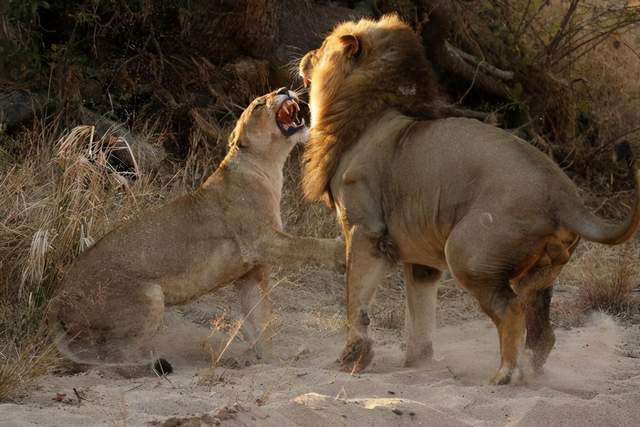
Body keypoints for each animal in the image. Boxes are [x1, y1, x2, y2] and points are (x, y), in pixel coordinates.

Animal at [49, 88, 342, 374]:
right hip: (147, 297)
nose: (284, 89)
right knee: (114, 355)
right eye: (259, 104)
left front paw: (269, 361)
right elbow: (308, 244)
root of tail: (57, 301)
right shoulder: (262, 242)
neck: (268, 167)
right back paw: (150, 366)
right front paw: (340, 245)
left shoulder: (250, 273)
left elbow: (259, 322)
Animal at [300, 15, 640, 384]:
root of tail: (565, 196)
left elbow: (355, 298)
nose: (304, 57)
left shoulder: (365, 231)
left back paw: (504, 375)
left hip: (466, 252)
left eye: (322, 46)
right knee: (541, 330)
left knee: (510, 310)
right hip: (541, 272)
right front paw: (418, 364)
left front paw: (353, 356)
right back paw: (528, 371)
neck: (363, 113)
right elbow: (420, 315)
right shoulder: (420, 259)